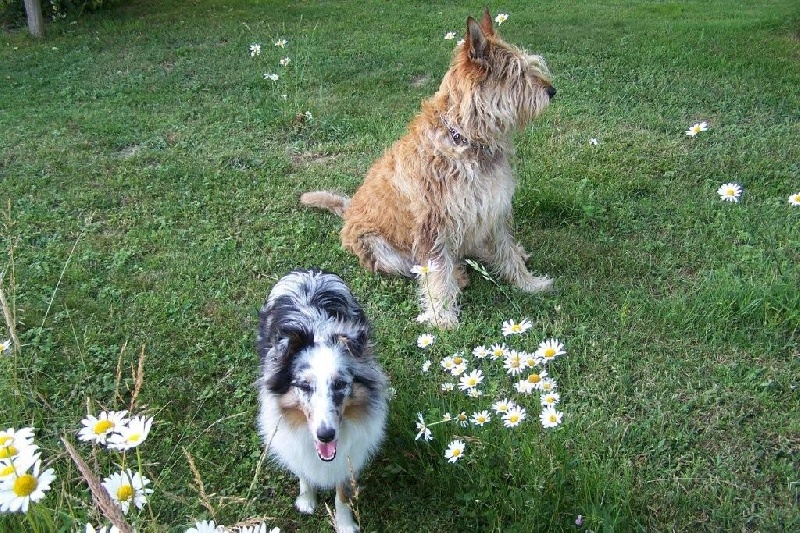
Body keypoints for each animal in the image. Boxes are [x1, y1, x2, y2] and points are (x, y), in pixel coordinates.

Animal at [300, 9, 556, 328]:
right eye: (517, 73)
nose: (552, 91)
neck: (465, 138)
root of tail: (347, 211)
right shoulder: (432, 226)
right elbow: (435, 272)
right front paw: (443, 318)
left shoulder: (494, 208)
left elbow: (506, 251)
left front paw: (529, 283)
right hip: (380, 249)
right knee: (419, 267)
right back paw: (458, 276)